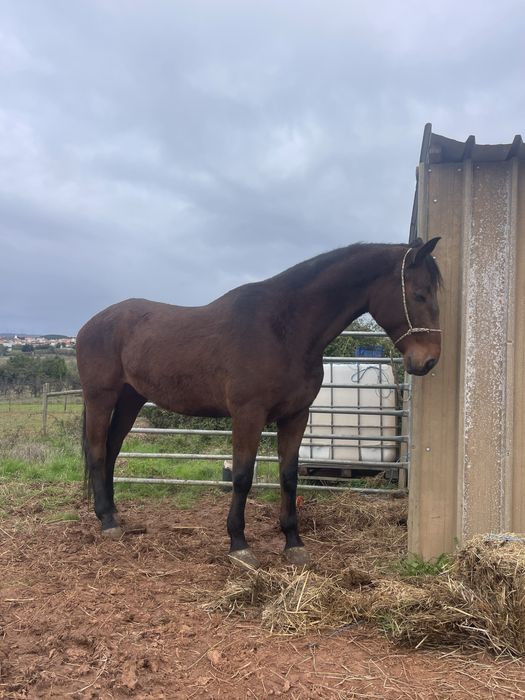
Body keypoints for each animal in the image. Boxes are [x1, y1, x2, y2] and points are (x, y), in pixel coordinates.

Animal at [76, 237, 442, 569]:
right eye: (419, 293)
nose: (428, 361)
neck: (283, 329)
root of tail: (89, 325)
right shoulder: (247, 415)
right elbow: (242, 476)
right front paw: (239, 545)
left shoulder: (296, 416)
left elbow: (289, 476)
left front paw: (294, 543)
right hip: (100, 397)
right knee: (97, 452)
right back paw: (107, 522)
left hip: (131, 399)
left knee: (111, 450)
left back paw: (114, 514)